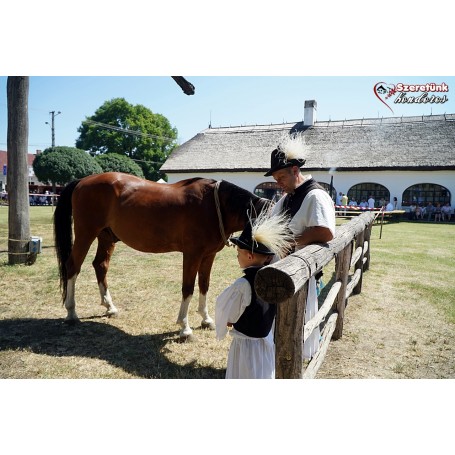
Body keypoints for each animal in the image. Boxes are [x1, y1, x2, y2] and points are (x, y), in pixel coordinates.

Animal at [53, 173, 270, 340]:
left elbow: (204, 286)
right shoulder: (192, 255)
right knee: (73, 267)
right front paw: (184, 328)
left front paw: (206, 319)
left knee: (100, 265)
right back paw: (71, 312)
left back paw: (109, 307)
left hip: (106, 237)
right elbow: (188, 289)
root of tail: (82, 181)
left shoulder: (208, 256)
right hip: (85, 233)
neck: (213, 205)